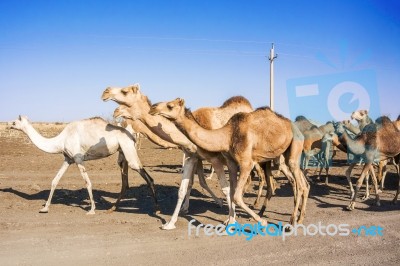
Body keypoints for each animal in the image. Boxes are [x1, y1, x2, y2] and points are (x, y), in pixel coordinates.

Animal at [10, 115, 158, 214]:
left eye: (15, 121)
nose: (9, 125)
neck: (60, 141)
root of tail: (132, 135)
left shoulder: (78, 158)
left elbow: (88, 182)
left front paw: (92, 209)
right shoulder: (68, 159)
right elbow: (55, 180)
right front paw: (45, 208)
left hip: (128, 149)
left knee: (147, 177)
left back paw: (157, 210)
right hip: (123, 152)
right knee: (125, 183)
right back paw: (112, 208)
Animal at [150, 98, 310, 227]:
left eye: (170, 106)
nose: (153, 107)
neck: (228, 135)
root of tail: (296, 128)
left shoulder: (246, 163)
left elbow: (236, 196)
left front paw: (262, 222)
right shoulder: (231, 163)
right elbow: (231, 191)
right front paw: (230, 221)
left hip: (293, 150)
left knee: (300, 184)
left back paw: (293, 221)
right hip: (277, 158)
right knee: (291, 183)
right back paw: (295, 216)